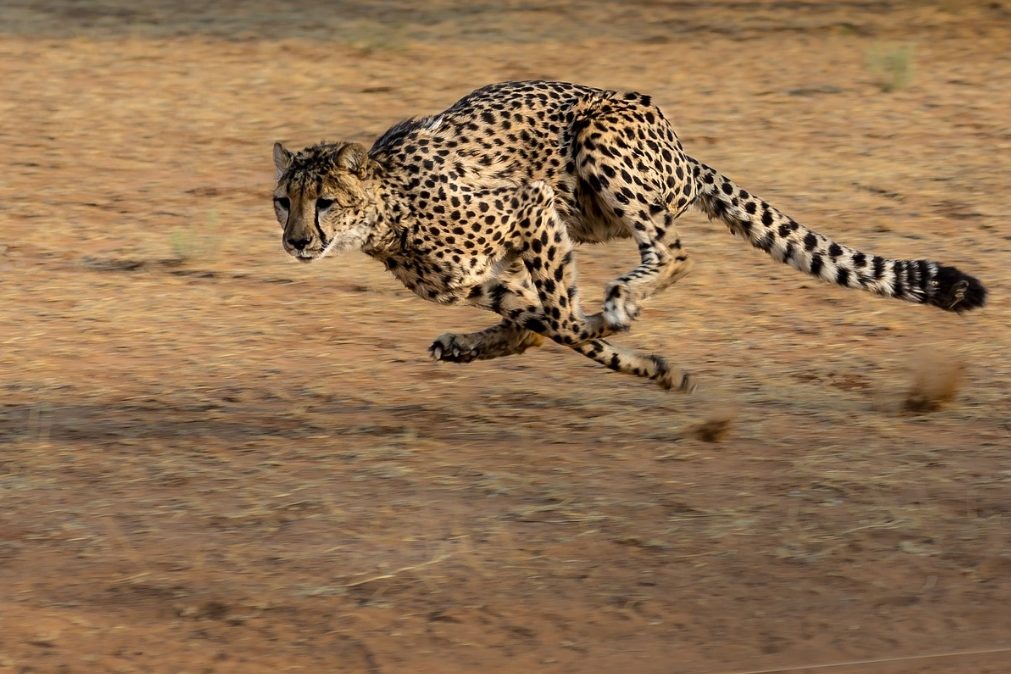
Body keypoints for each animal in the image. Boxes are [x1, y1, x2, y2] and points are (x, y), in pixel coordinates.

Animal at [270, 80, 986, 390]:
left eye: (324, 202)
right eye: (283, 202)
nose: (297, 241)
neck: (386, 213)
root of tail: (682, 148)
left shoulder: (530, 205)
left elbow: (563, 321)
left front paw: (640, 355)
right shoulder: (484, 277)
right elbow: (544, 324)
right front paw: (646, 363)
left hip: (598, 143)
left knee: (673, 251)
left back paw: (621, 301)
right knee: (543, 319)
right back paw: (484, 342)